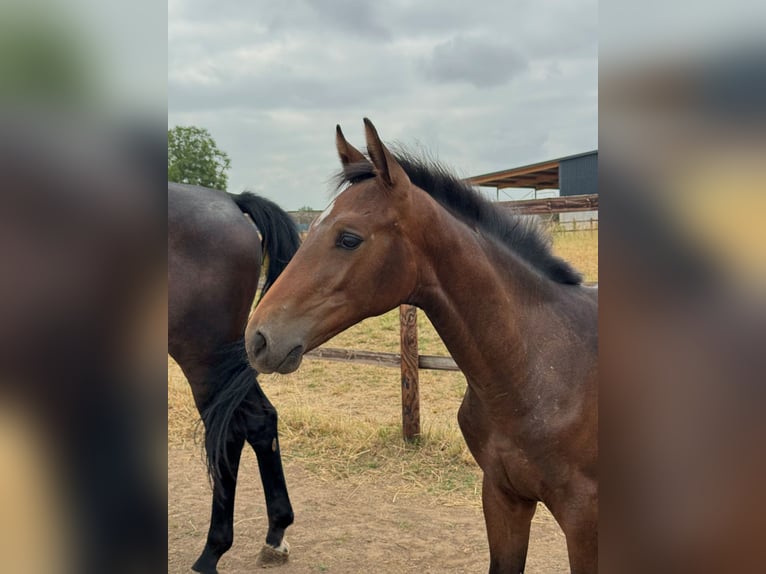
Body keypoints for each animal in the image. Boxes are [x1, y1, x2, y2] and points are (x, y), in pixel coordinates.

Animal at [168, 183, 301, 573]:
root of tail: (230, 200)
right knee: (261, 419)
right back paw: (275, 535)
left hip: (206, 360)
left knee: (227, 432)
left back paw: (212, 551)